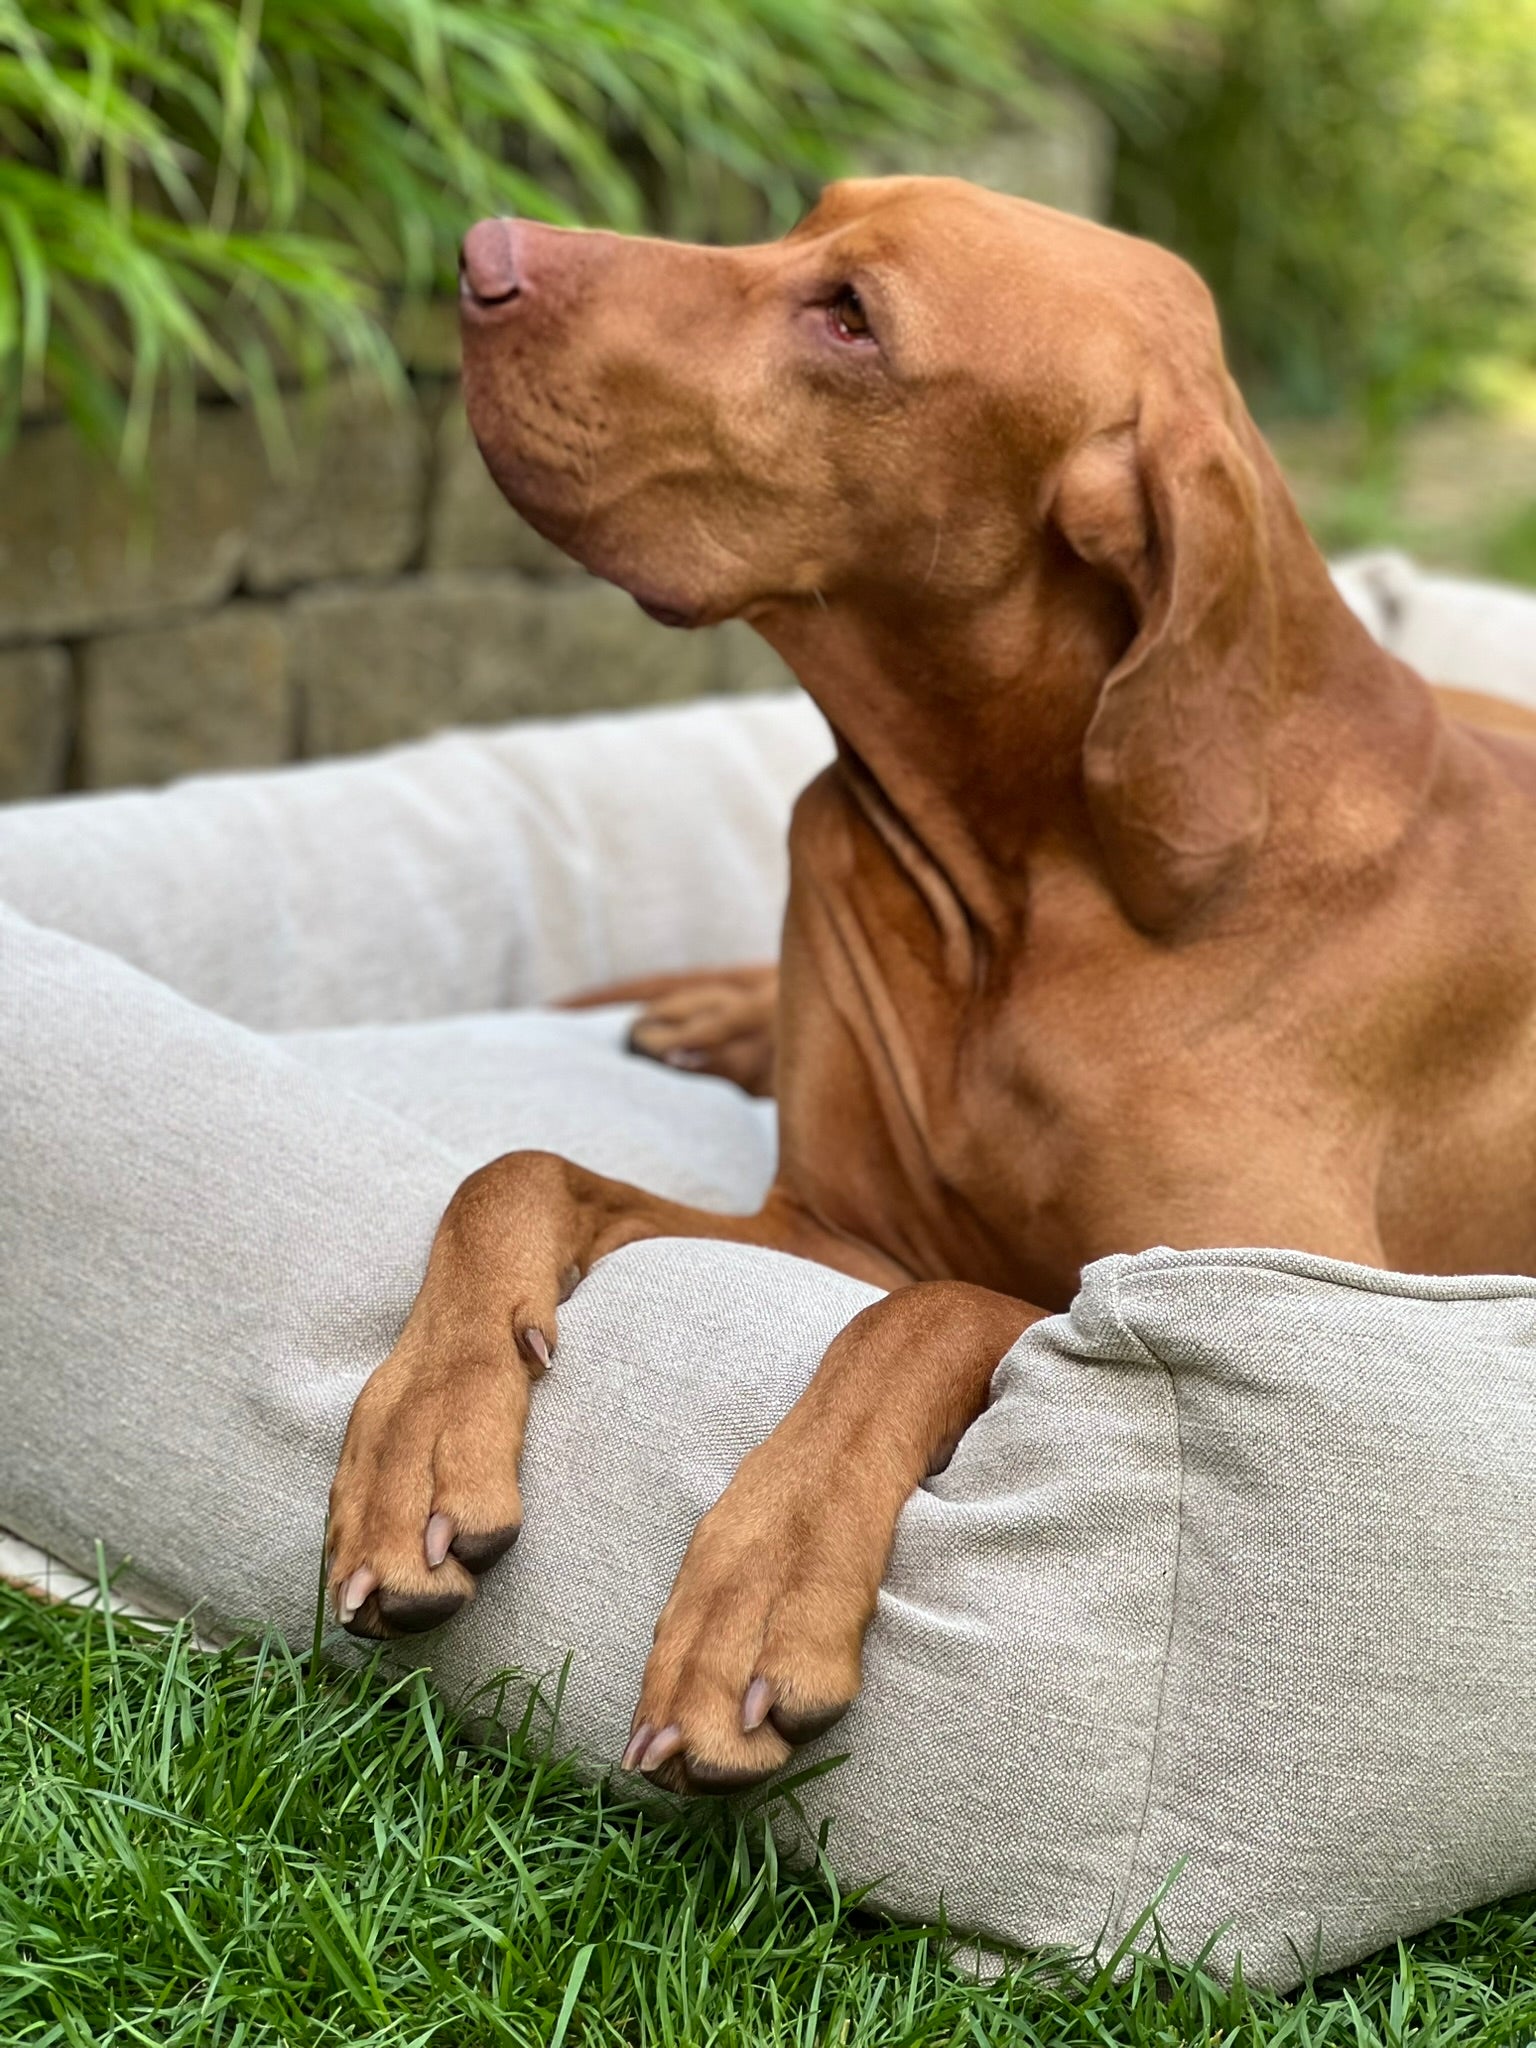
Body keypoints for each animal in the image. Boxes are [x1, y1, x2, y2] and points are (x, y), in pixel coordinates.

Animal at [321, 184, 1536, 1802]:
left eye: (851, 316)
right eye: (802, 219)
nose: (482, 251)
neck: (1025, 887)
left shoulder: (1283, 1279)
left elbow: (948, 1305)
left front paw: (763, 1580)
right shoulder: (824, 1228)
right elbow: (514, 1165)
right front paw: (417, 1435)